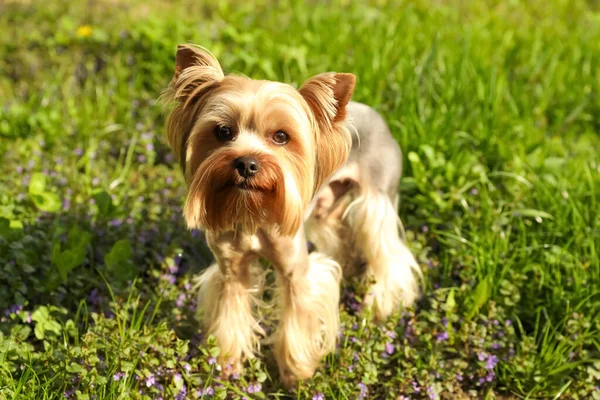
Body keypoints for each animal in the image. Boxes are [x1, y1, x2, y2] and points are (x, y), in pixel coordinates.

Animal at [162, 43, 420, 388]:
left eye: (281, 137)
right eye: (223, 131)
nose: (246, 163)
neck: (252, 209)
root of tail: (377, 115)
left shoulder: (295, 269)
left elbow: (298, 316)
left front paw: (297, 375)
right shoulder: (231, 269)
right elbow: (231, 312)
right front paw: (227, 366)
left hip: (377, 198)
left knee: (388, 253)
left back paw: (380, 305)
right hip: (327, 204)